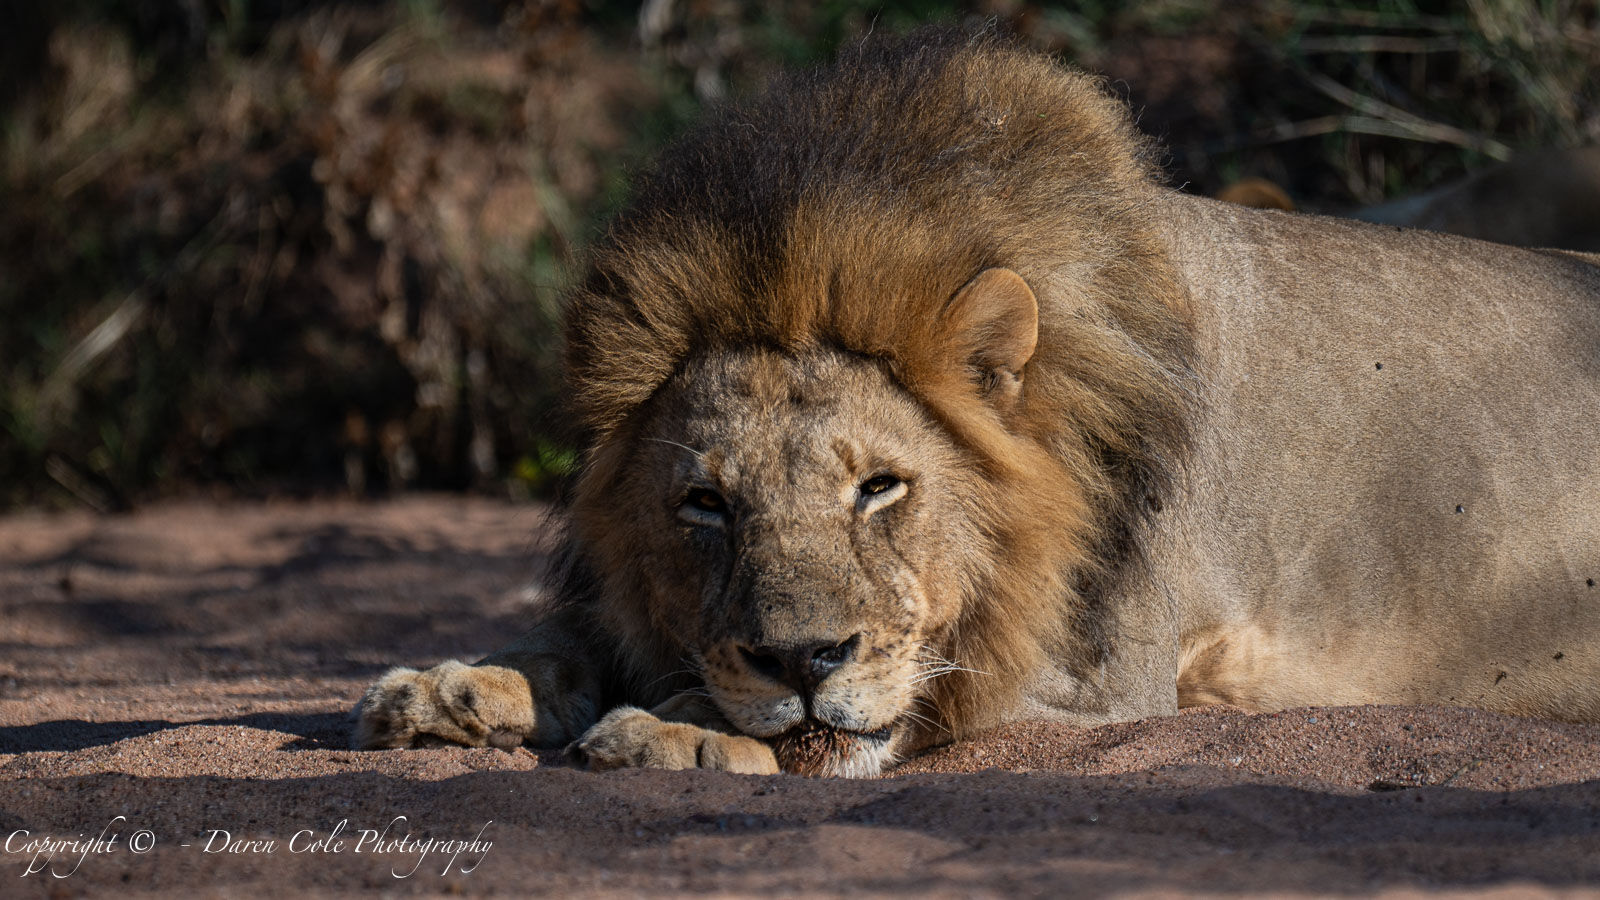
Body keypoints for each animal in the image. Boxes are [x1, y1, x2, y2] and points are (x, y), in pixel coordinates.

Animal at [354, 29, 1600, 777]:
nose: (801, 663)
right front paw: (455, 686)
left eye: (880, 488)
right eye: (705, 505)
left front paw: (670, 728)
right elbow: (573, 642)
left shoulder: (1100, 681)